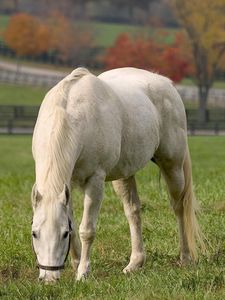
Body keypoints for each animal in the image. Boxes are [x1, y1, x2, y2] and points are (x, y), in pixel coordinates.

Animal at [31, 67, 204, 282]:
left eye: (63, 234)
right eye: (34, 233)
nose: (48, 278)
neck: (73, 115)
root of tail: (166, 83)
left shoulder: (95, 181)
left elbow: (86, 229)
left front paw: (83, 273)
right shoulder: (66, 184)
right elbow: (74, 223)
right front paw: (76, 264)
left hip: (173, 166)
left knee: (179, 207)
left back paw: (185, 257)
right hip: (125, 174)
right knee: (133, 211)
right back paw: (135, 263)